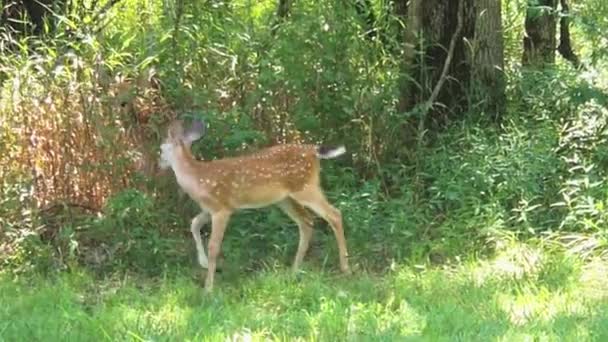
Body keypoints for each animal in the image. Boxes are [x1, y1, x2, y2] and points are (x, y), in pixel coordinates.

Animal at [159, 118, 352, 292]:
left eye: (161, 148)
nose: (159, 164)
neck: (198, 180)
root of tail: (314, 150)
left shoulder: (222, 208)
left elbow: (214, 246)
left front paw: (208, 288)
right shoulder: (210, 209)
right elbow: (194, 223)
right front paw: (203, 263)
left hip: (305, 187)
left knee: (334, 214)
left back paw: (345, 268)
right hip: (285, 199)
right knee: (306, 221)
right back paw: (294, 271)